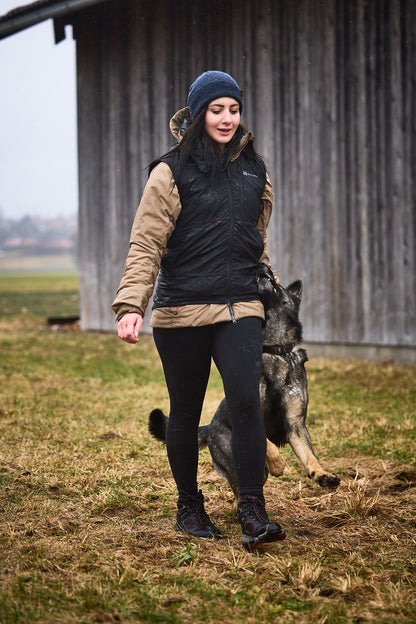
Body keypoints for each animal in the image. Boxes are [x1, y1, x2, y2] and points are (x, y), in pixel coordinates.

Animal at [148, 264, 340, 502]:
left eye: (276, 282)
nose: (263, 265)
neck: (275, 350)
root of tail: (210, 428)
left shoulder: (296, 424)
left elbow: (309, 455)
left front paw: (322, 474)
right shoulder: (249, 413)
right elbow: (268, 444)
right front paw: (278, 464)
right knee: (240, 490)